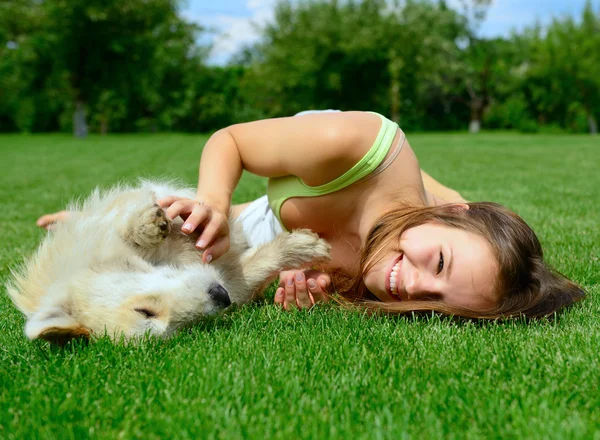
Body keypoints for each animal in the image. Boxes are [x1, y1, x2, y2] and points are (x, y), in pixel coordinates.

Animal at [7, 182, 330, 344]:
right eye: (181, 328)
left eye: (144, 311)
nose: (221, 296)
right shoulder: (232, 276)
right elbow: (262, 262)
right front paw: (305, 247)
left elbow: (130, 224)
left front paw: (148, 225)